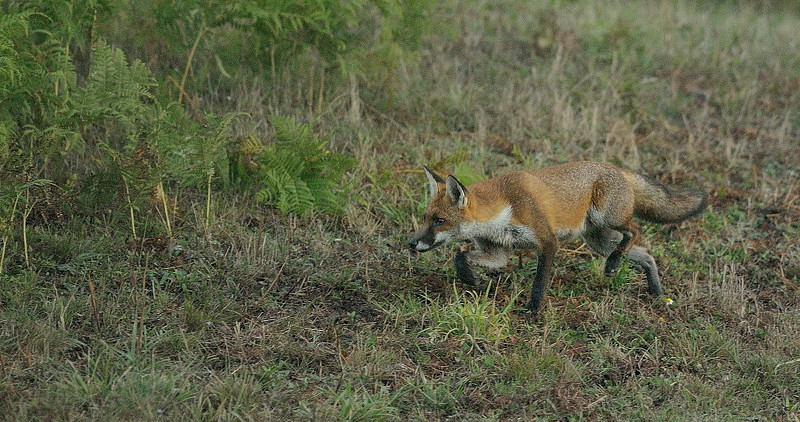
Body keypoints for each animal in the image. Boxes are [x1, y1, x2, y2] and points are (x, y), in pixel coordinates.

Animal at [408, 161, 707, 313]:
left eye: (439, 221)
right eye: (426, 218)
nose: (411, 242)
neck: (504, 209)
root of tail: (614, 167)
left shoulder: (547, 242)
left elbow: (539, 282)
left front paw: (532, 311)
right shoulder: (498, 253)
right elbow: (461, 255)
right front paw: (470, 279)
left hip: (608, 220)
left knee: (635, 230)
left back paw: (615, 265)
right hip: (599, 241)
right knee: (646, 254)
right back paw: (657, 293)